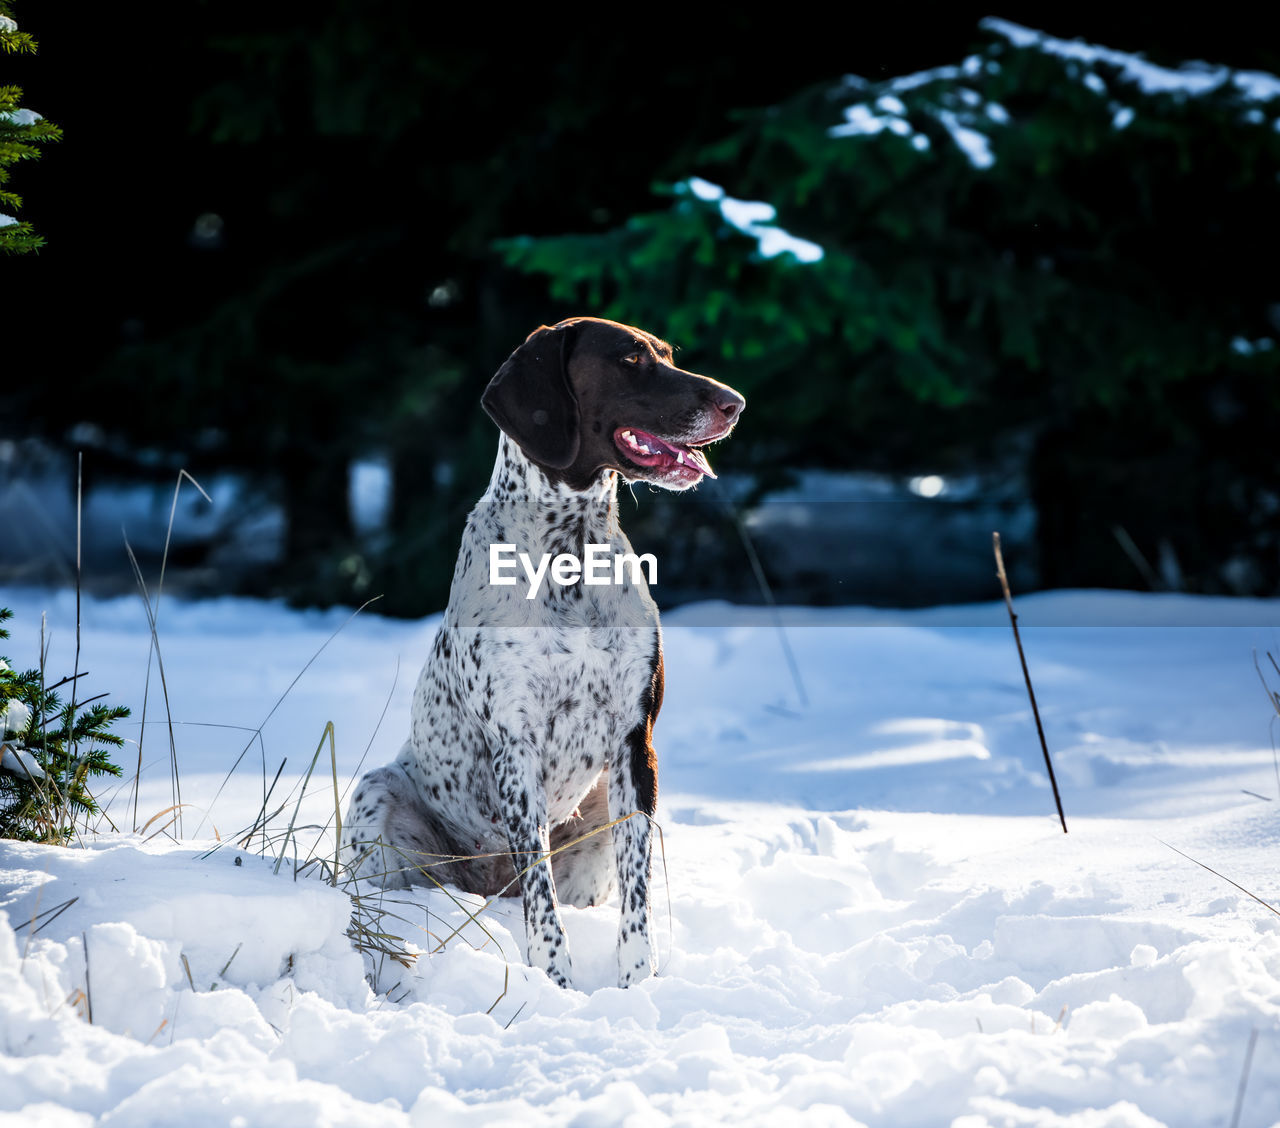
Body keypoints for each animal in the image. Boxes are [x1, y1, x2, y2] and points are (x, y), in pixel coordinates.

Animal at [340, 314, 747, 983]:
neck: (571, 551)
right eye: (631, 359)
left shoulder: (635, 744)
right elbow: (541, 898)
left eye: (666, 354)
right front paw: (554, 983)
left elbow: (636, 894)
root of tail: (486, 886)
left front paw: (636, 984)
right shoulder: (516, 746)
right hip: (378, 801)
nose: (734, 403)